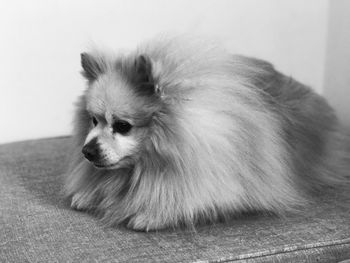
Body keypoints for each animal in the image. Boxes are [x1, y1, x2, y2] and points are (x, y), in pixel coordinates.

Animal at [64, 34, 348, 231]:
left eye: (122, 126)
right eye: (93, 121)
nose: (87, 150)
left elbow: (195, 200)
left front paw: (155, 214)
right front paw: (89, 194)